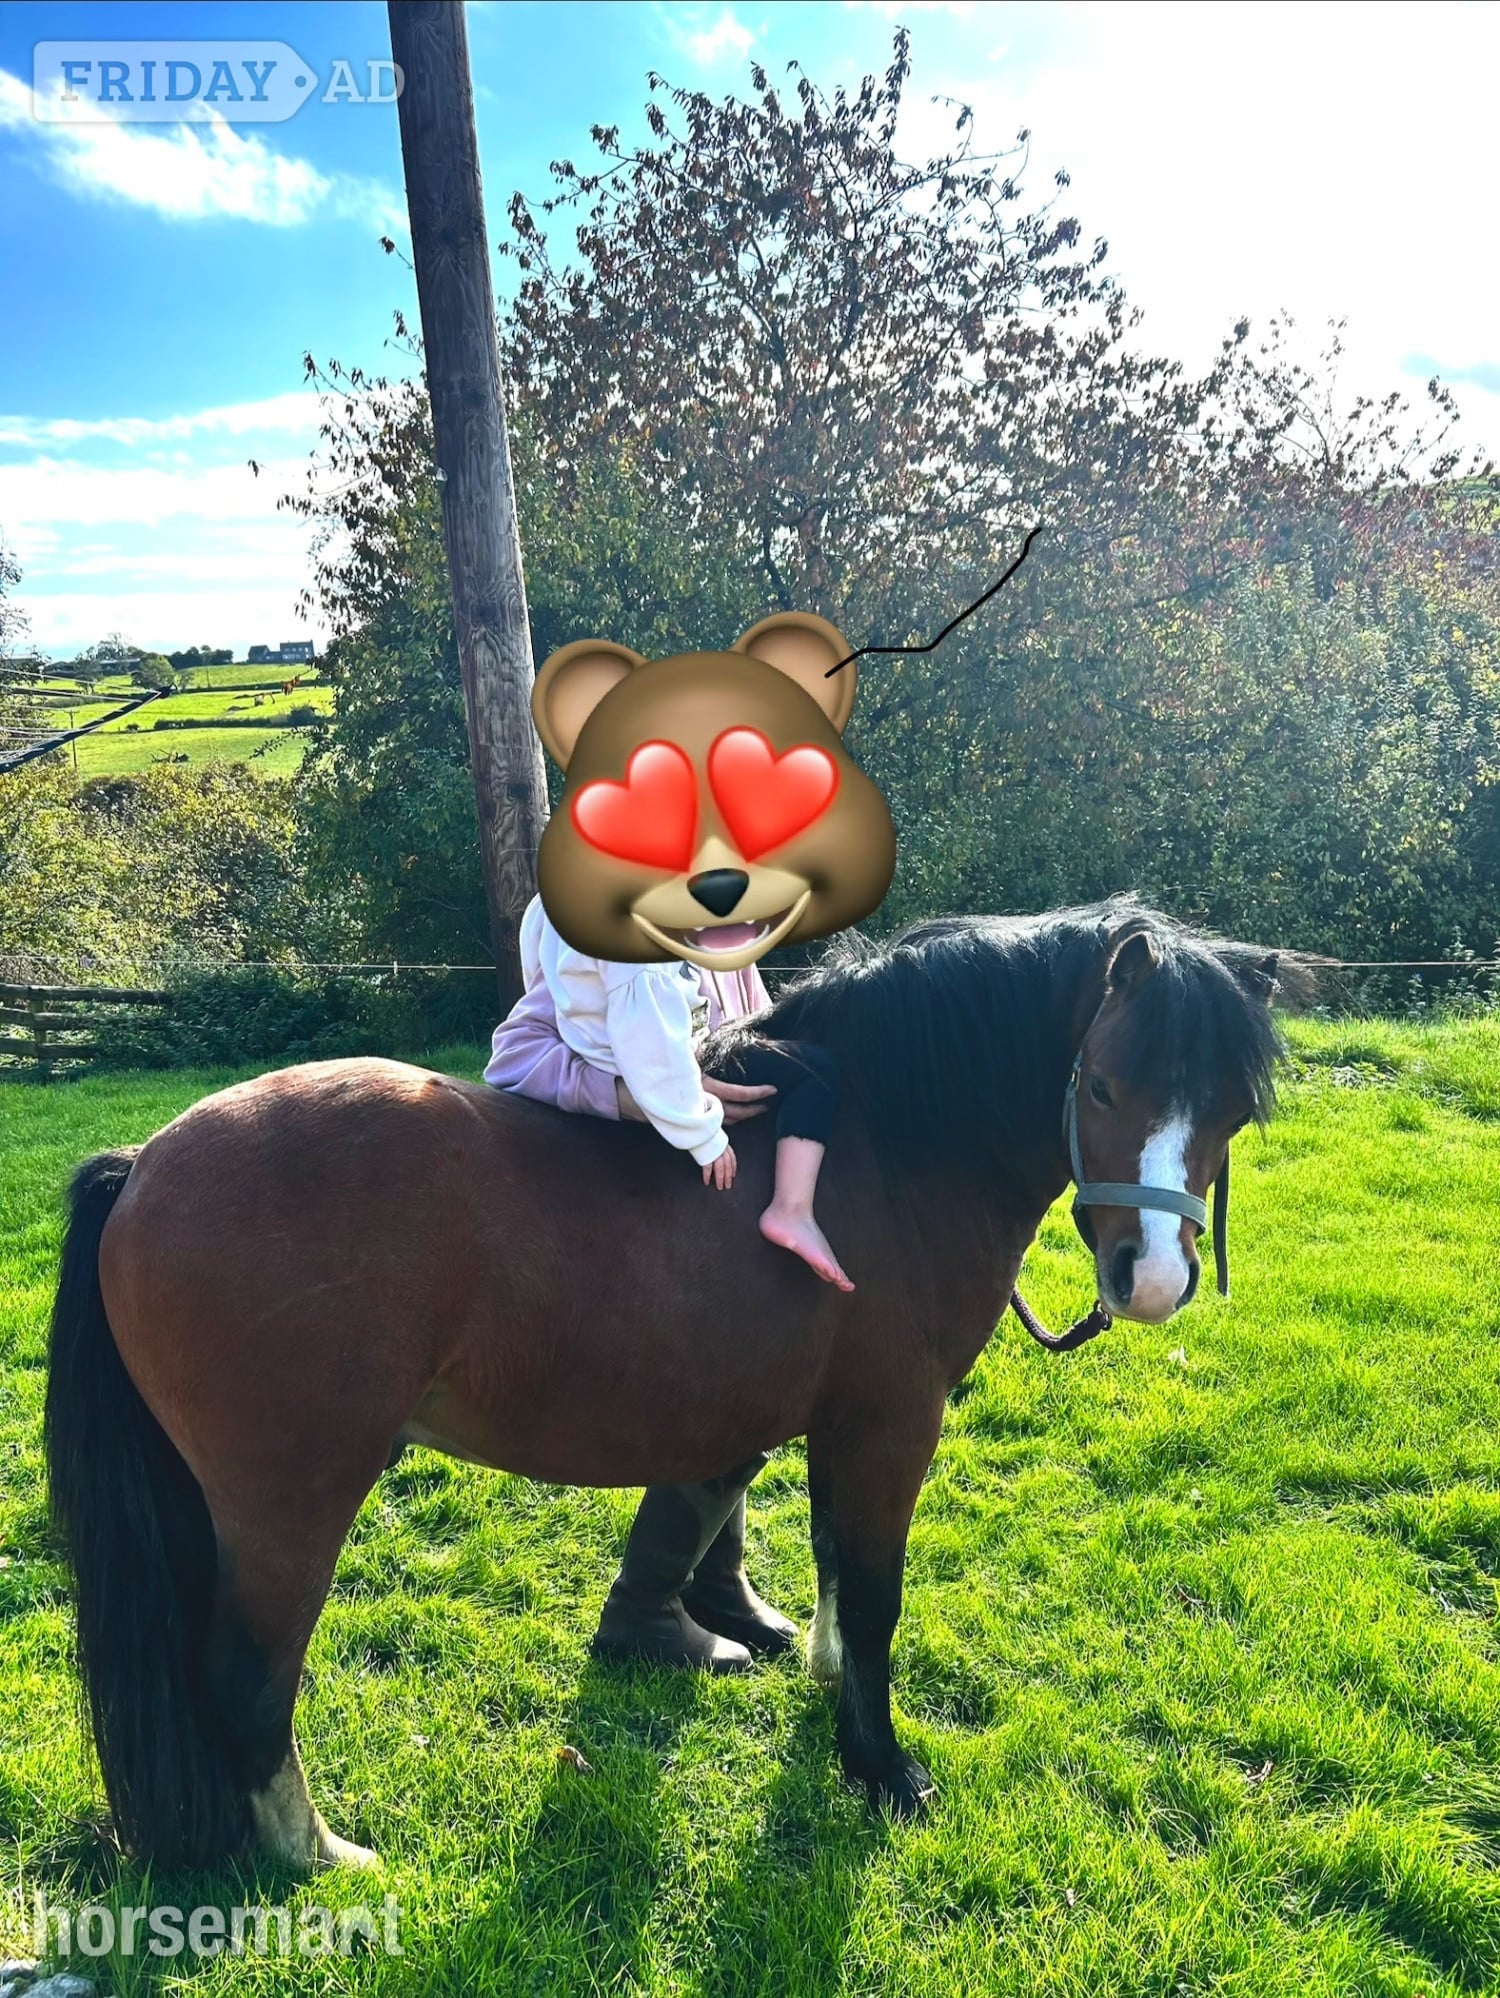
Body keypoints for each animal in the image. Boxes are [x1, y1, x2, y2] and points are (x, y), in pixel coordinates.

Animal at [43, 899, 1303, 1871]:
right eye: (1104, 1084)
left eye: (1234, 1112)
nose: (1152, 1280)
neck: (889, 1144)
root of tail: (144, 1165)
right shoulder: (893, 1423)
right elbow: (875, 1592)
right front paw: (881, 1769)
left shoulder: (820, 1421)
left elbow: (826, 1564)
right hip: (290, 1505)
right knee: (247, 1683)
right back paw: (318, 1858)